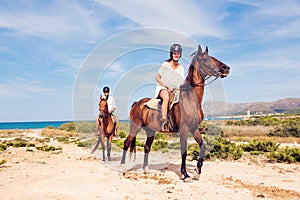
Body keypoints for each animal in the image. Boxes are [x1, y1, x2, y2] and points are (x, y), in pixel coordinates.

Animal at [119, 44, 230, 182]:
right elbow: (184, 152)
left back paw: (146, 169)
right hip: (135, 127)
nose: (226, 68)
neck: (190, 99)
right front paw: (185, 174)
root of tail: (137, 104)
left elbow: (203, 146)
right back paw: (122, 168)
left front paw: (197, 172)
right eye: (206, 59)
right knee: (126, 143)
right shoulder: (184, 129)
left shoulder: (194, 128)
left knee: (146, 147)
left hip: (150, 131)